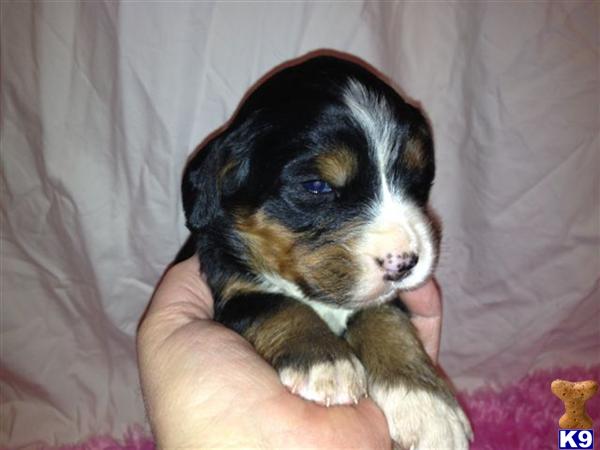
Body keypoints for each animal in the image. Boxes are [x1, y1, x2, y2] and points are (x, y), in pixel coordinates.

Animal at [180, 54, 472, 448]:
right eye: (316, 186)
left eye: (420, 177)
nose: (404, 263)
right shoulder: (230, 284)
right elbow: (276, 304)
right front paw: (325, 362)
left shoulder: (385, 301)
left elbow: (385, 318)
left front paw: (427, 404)